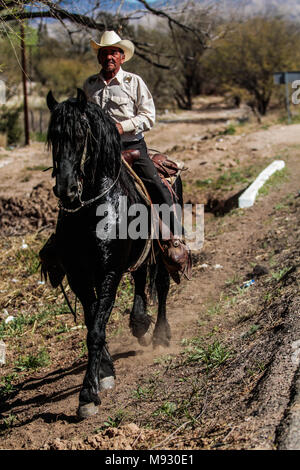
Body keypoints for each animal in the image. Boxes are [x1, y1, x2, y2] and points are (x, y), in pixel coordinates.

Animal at [44, 88, 183, 418]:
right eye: (53, 136)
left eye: (80, 134)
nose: (66, 189)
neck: (93, 208)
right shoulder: (79, 277)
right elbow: (93, 321)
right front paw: (105, 372)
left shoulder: (108, 272)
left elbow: (96, 329)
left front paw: (87, 394)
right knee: (141, 279)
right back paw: (139, 322)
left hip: (161, 253)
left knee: (161, 285)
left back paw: (160, 334)